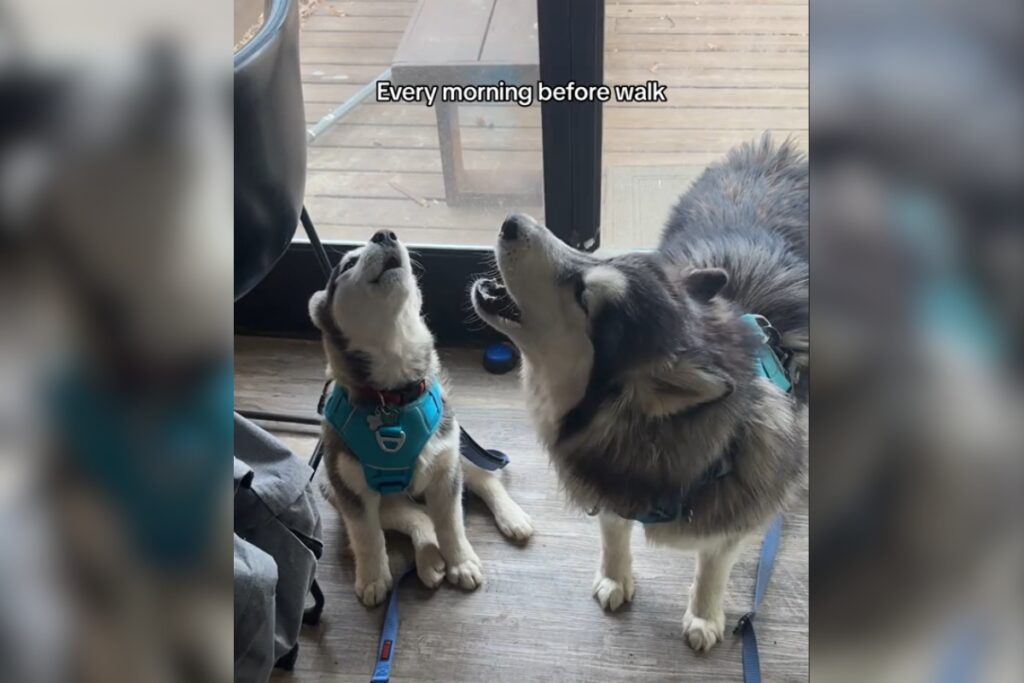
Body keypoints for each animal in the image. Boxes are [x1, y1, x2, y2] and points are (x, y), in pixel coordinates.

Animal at [309, 231, 536, 610]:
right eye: (348, 264)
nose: (384, 234)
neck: (391, 397)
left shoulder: (445, 466)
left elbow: (451, 524)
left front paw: (461, 560)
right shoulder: (348, 486)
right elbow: (367, 536)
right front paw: (372, 577)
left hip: (454, 443)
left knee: (480, 478)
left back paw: (511, 516)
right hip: (336, 486)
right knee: (417, 517)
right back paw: (429, 560)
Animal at [471, 137, 806, 651]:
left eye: (584, 297)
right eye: (600, 259)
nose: (512, 221)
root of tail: (775, 151)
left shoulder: (735, 519)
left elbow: (713, 564)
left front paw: (705, 614)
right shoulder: (611, 489)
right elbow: (614, 532)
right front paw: (615, 576)